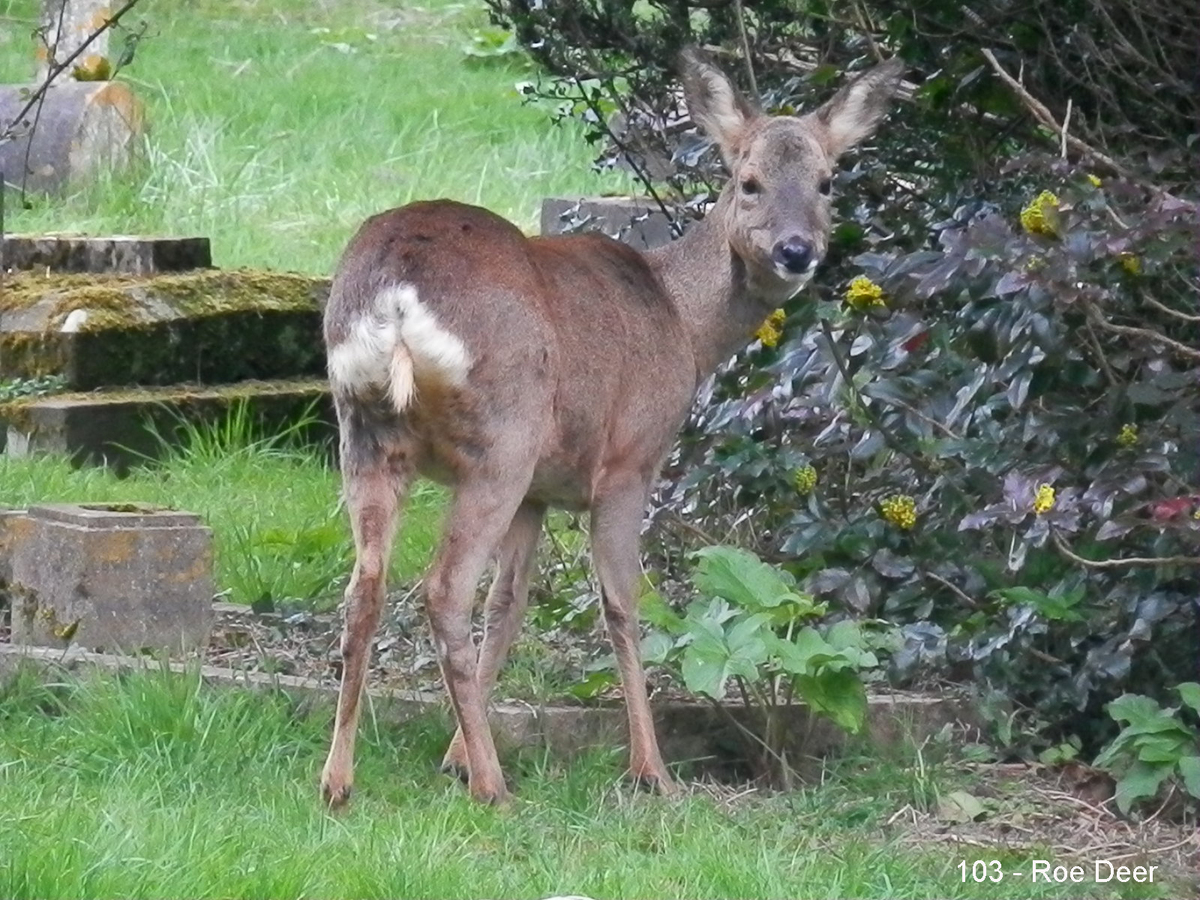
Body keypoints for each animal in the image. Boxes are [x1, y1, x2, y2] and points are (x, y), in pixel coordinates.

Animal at [318, 47, 904, 806]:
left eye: (828, 181)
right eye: (747, 182)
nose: (797, 250)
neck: (682, 320)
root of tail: (394, 293)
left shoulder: (540, 491)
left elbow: (509, 603)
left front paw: (452, 755)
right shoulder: (630, 460)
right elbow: (625, 604)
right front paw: (651, 770)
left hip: (366, 433)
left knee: (366, 588)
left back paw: (339, 781)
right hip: (501, 438)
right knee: (443, 588)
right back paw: (494, 788)